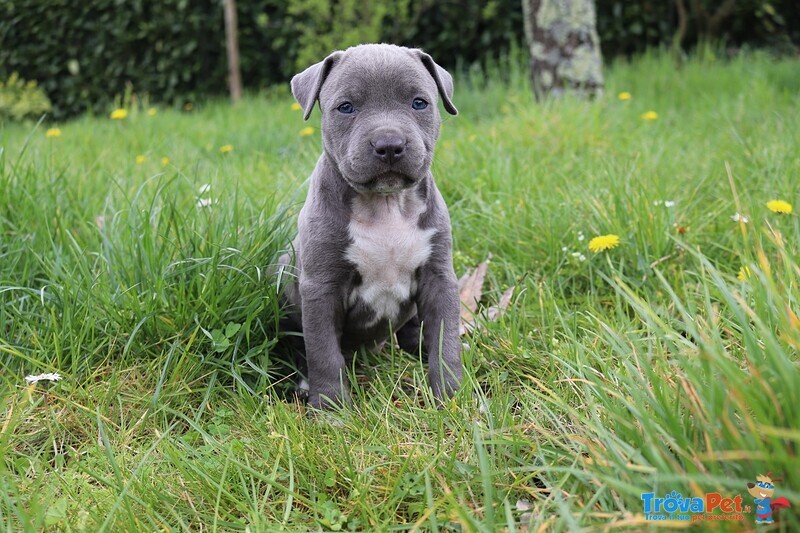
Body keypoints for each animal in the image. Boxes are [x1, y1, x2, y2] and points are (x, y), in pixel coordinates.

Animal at [276, 43, 460, 408]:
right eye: (346, 107)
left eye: (419, 103)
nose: (389, 145)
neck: (385, 205)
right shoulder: (321, 288)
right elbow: (323, 353)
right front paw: (331, 408)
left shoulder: (439, 278)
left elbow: (445, 342)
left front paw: (451, 397)